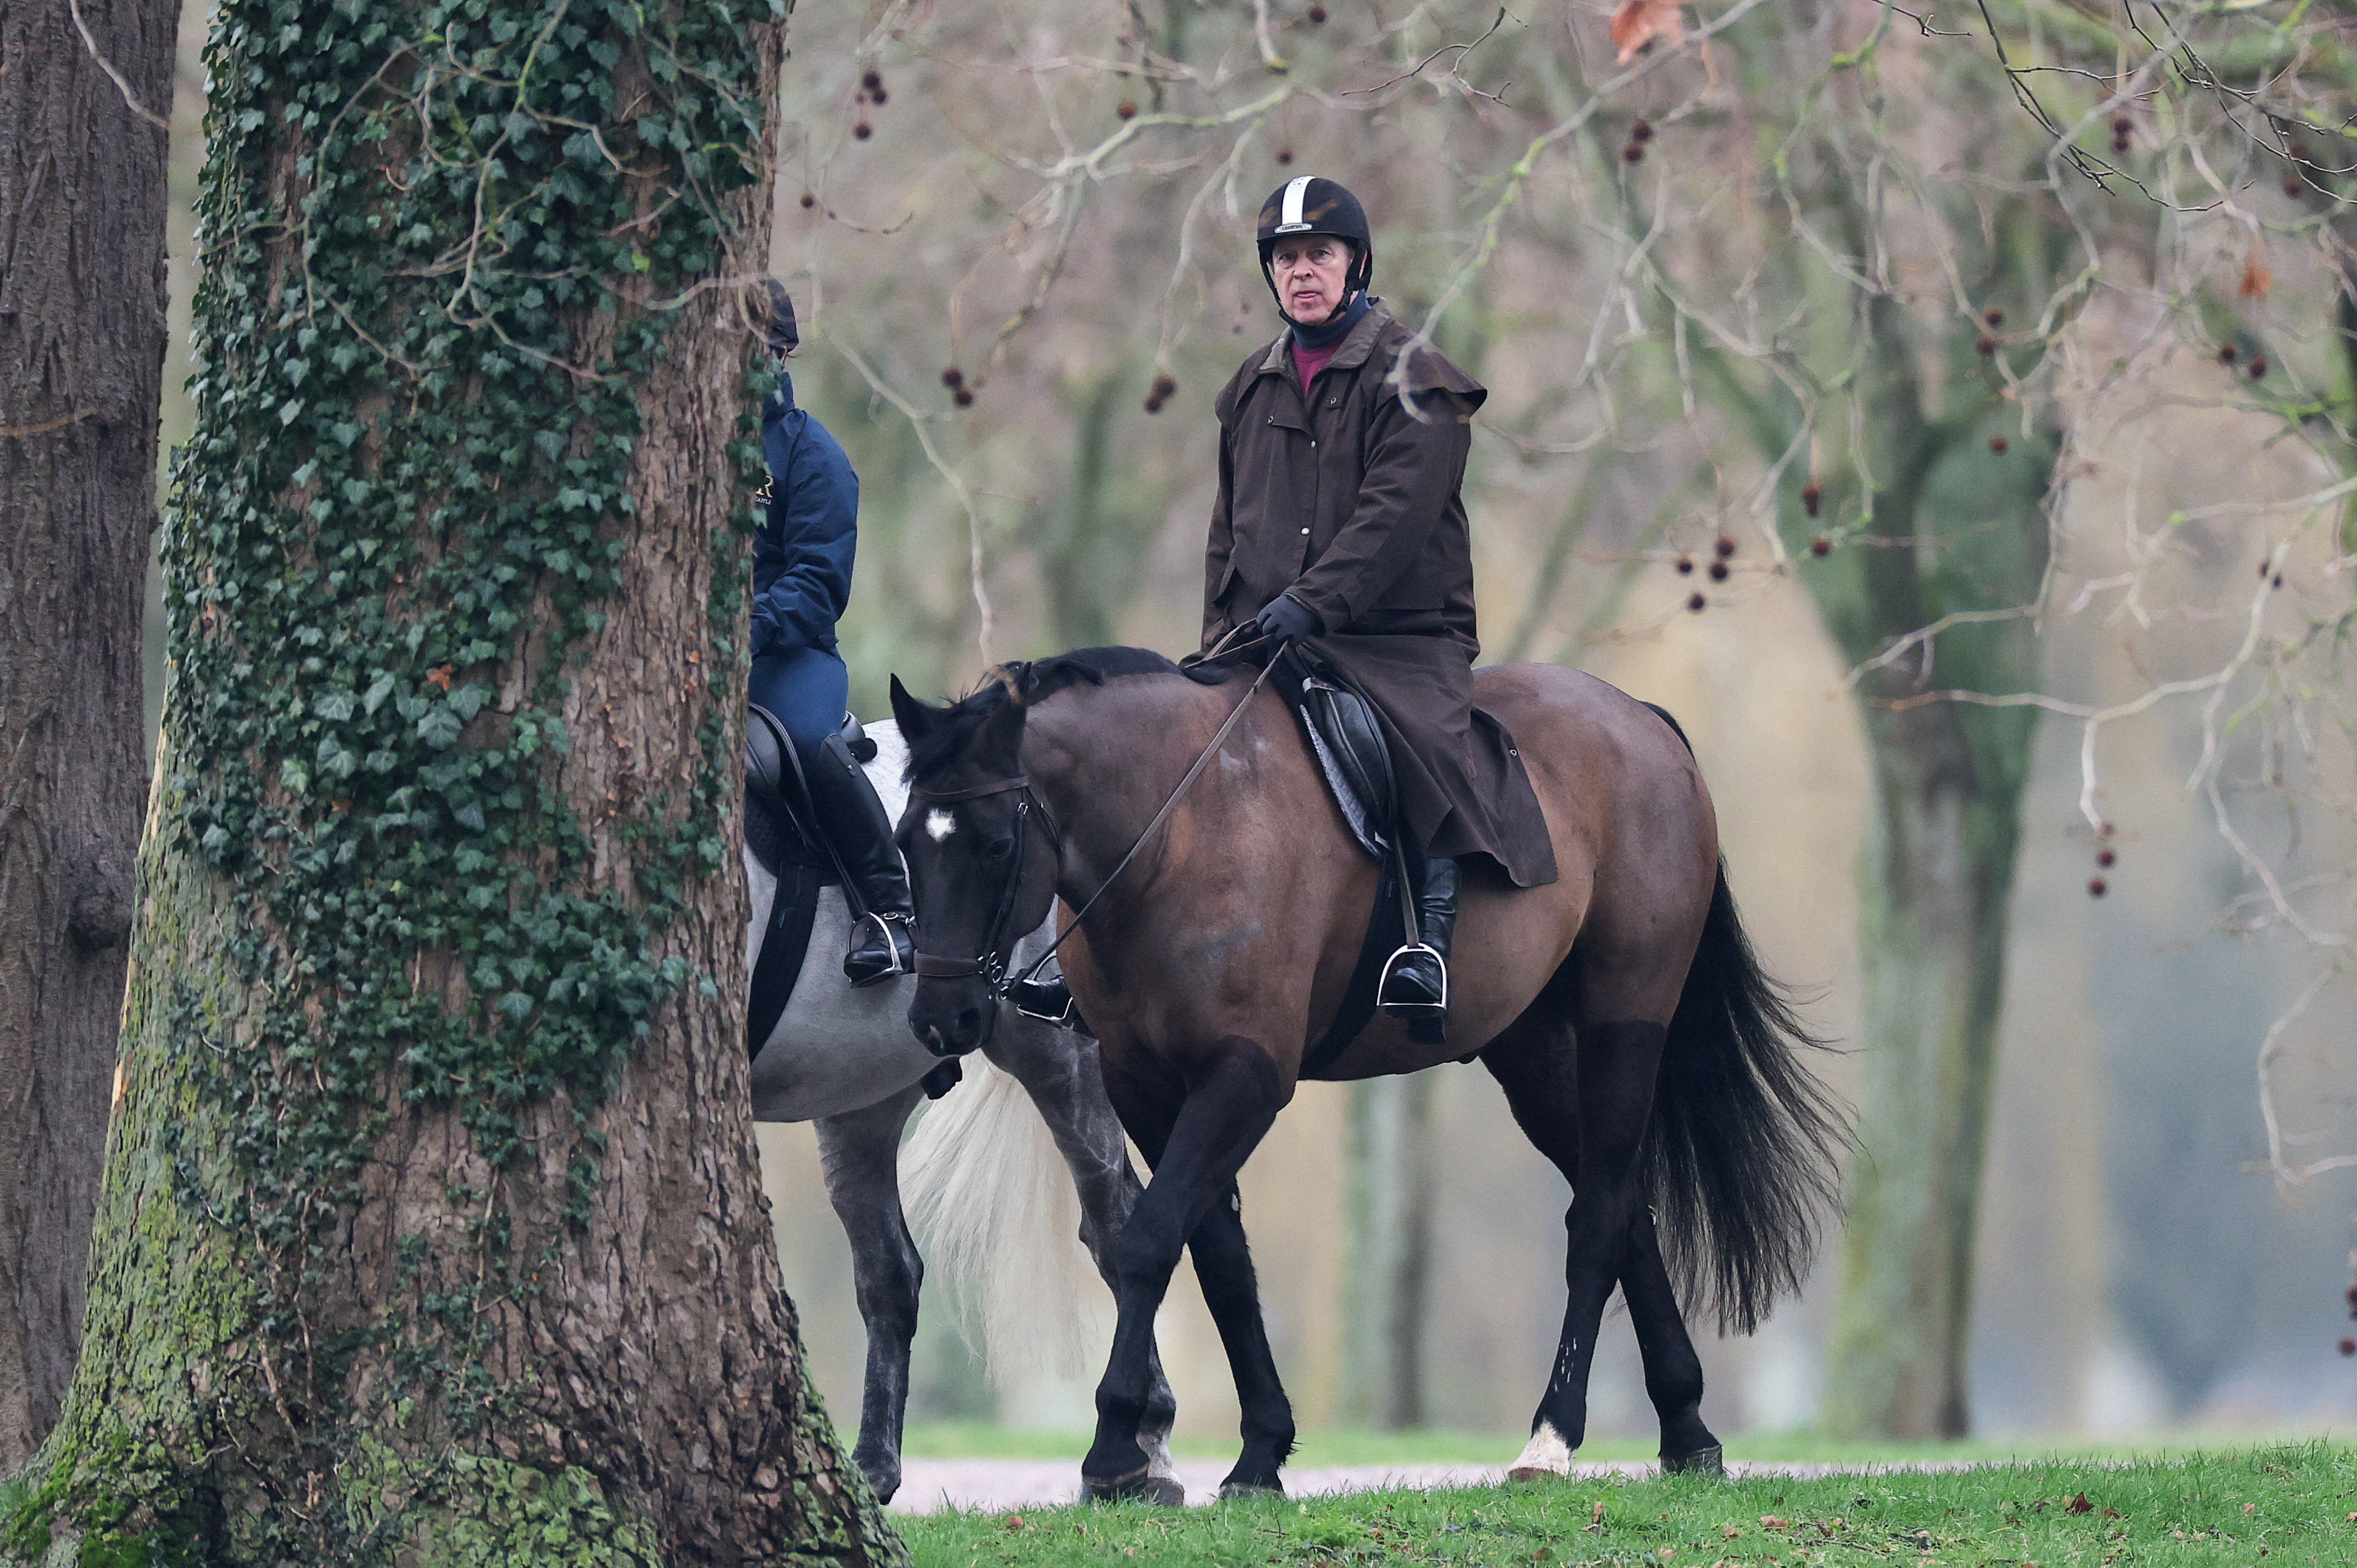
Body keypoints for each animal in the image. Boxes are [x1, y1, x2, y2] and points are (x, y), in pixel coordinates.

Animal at [743, 717, 1181, 1504]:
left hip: (1058, 1057)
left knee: (1115, 1226)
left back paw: (1140, 1450)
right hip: (859, 1100)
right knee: (889, 1273)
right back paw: (873, 1470)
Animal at [887, 647, 1846, 1501]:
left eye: (992, 843)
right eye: (902, 841)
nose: (940, 1019)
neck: (1180, 835)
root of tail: (1640, 718)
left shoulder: (1245, 1076)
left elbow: (1153, 1239)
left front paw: (1115, 1449)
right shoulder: (1148, 1087)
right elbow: (1218, 1256)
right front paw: (1260, 1454)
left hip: (1626, 1024)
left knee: (1602, 1216)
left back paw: (1553, 1438)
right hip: (1537, 1055)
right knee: (1627, 1206)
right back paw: (1687, 1430)